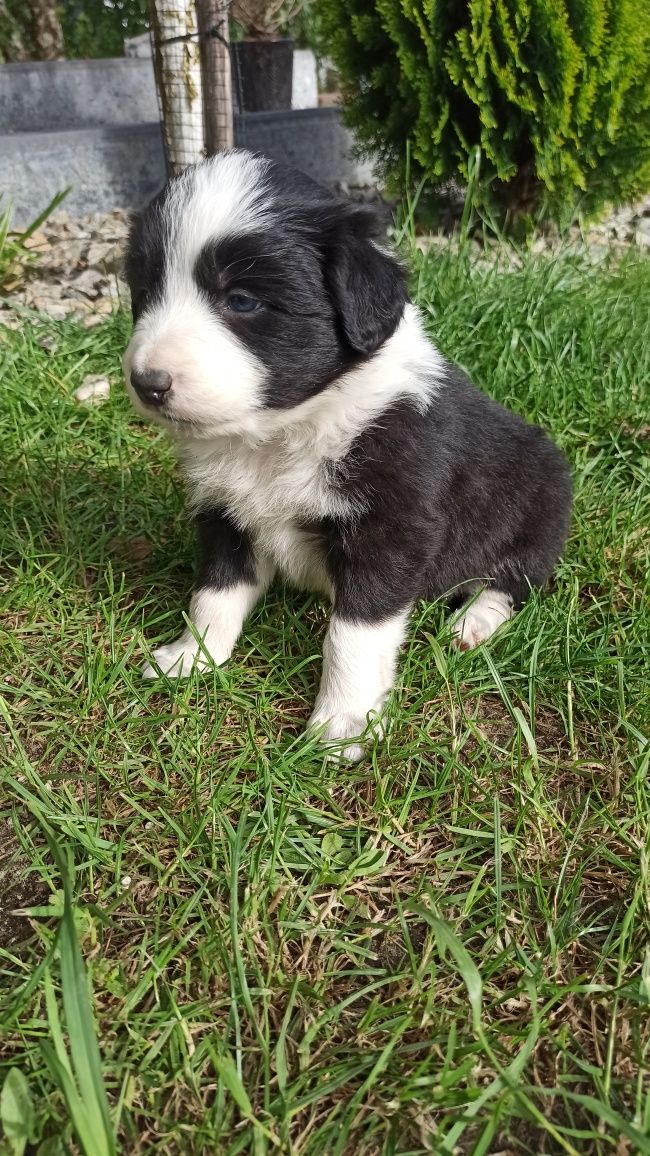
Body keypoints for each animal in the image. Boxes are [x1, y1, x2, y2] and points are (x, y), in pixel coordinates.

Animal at [123, 149, 569, 762]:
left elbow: (353, 636)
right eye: (145, 291)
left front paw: (343, 725)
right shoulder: (225, 515)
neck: (280, 434)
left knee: (514, 581)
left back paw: (472, 623)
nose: (148, 383)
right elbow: (213, 594)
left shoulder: (391, 528)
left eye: (242, 300)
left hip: (535, 505)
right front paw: (191, 657)